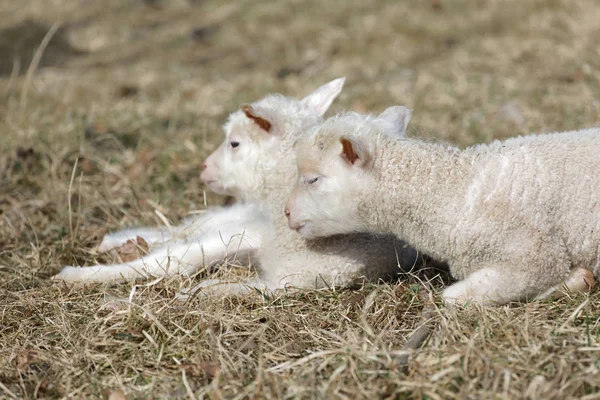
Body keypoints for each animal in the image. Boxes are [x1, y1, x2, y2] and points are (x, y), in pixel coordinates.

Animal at [55, 79, 422, 296]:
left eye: (234, 143)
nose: (204, 168)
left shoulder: (289, 280)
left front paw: (196, 292)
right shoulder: (245, 234)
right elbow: (174, 260)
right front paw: (81, 275)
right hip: (230, 220)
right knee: (183, 230)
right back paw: (118, 242)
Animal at [284, 108, 596, 304]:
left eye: (312, 179)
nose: (286, 212)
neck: (452, 193)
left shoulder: (534, 256)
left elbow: (453, 298)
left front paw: (573, 281)